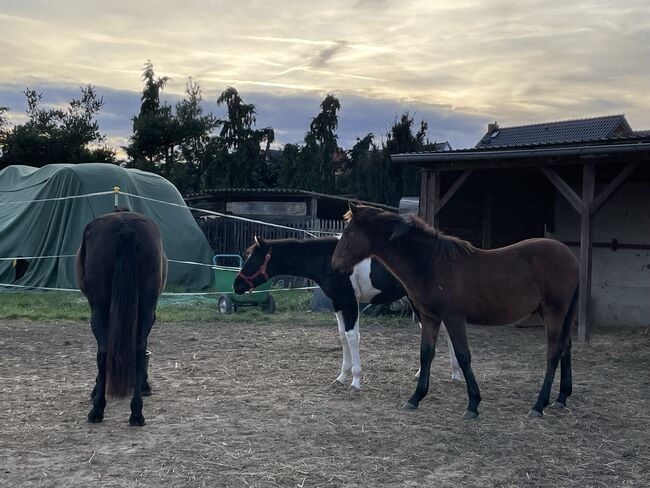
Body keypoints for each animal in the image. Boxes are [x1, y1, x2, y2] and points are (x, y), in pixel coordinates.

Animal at [75, 212, 167, 426]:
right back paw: (136, 413)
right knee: (139, 350)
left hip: (99, 310)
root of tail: (126, 227)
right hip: (145, 309)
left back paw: (97, 409)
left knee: (103, 351)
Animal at [230, 234, 458, 390]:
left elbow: (352, 336)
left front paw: (355, 381)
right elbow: (342, 336)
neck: (328, 259)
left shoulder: (349, 301)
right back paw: (447, 373)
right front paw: (341, 377)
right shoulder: (338, 302)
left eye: (253, 260)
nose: (236, 285)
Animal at [332, 203, 580, 420]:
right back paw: (561, 398)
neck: (431, 263)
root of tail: (571, 257)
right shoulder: (430, 317)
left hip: (554, 311)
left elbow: (463, 356)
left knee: (553, 353)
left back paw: (539, 405)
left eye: (349, 233)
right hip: (558, 314)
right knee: (565, 348)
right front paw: (415, 398)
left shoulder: (454, 318)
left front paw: (473, 404)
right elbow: (426, 354)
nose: (335, 265)